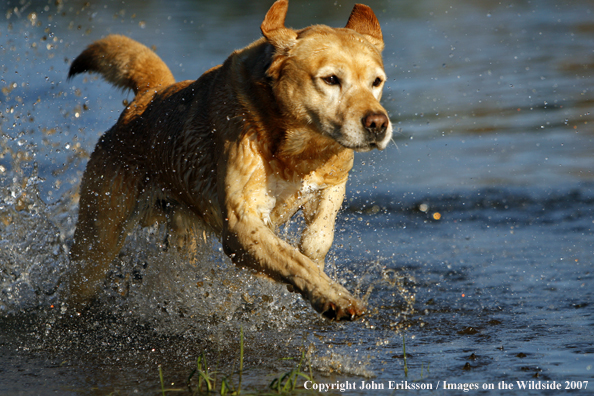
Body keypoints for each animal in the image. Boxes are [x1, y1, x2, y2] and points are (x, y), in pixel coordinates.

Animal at [66, 0, 388, 320]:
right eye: (331, 79)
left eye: (376, 82)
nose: (378, 123)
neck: (297, 150)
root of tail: (149, 94)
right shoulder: (239, 225)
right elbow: (293, 260)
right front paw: (333, 296)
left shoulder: (334, 180)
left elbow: (318, 238)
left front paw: (315, 261)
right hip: (98, 239)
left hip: (182, 235)